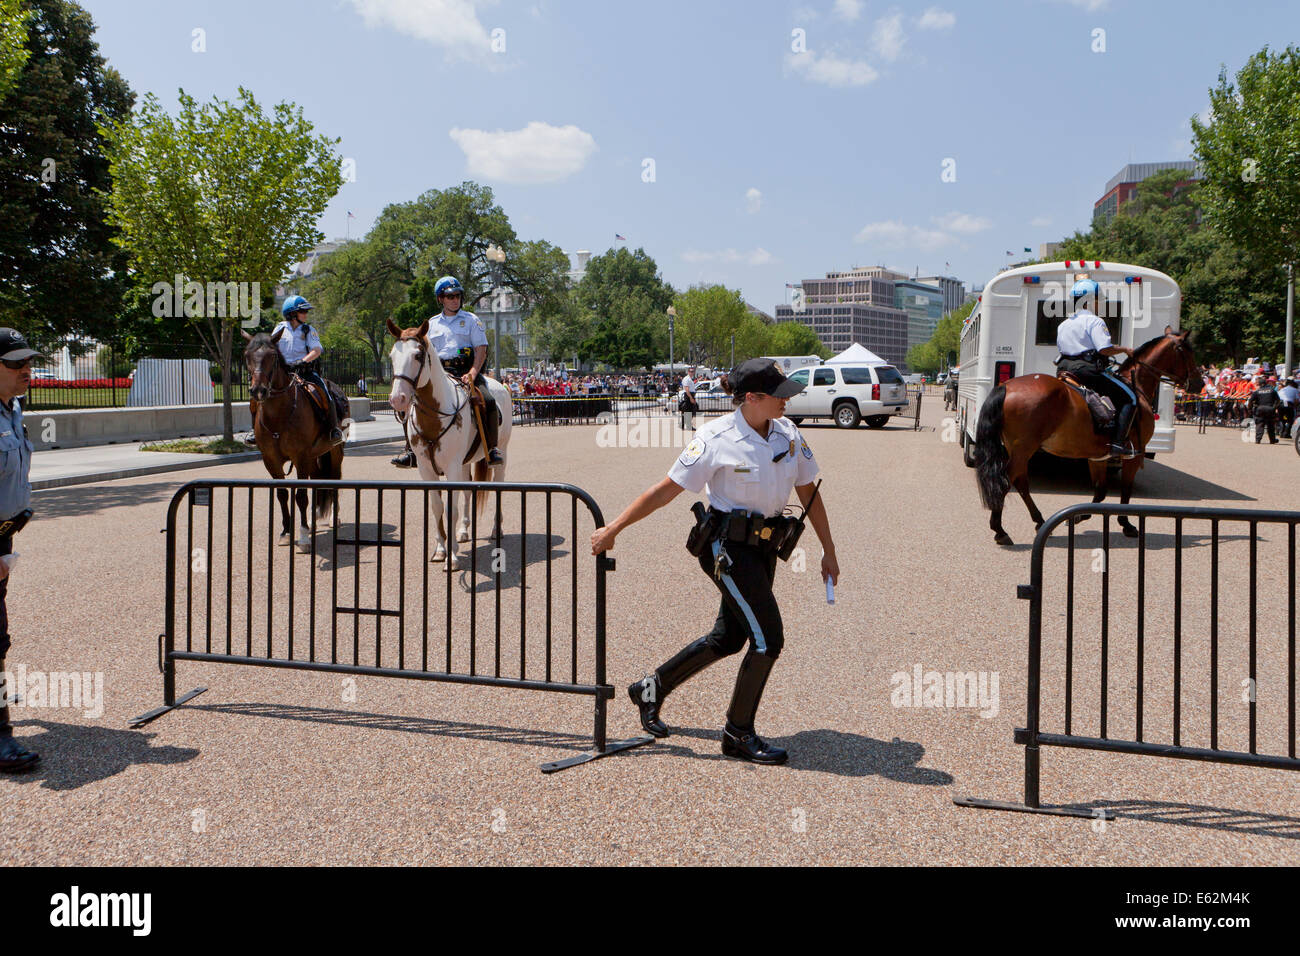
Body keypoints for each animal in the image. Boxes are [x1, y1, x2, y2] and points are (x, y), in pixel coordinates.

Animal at [243, 330, 345, 548]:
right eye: (247, 355)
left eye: (272, 356)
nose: (258, 390)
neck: (278, 416)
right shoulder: (271, 460)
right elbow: (282, 494)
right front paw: (286, 532)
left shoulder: (300, 457)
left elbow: (301, 495)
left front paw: (304, 535)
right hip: (314, 456)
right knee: (318, 479)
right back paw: (314, 519)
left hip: (335, 451)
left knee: (334, 479)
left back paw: (334, 517)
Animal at [384, 317, 512, 567]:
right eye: (392, 355)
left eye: (418, 355)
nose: (397, 399)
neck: (435, 416)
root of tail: (500, 384)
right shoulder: (426, 470)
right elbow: (437, 507)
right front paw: (441, 549)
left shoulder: (451, 467)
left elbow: (451, 507)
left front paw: (451, 556)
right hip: (464, 463)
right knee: (468, 491)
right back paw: (463, 531)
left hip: (501, 453)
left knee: (498, 485)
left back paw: (496, 529)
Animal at [972, 325, 1201, 546]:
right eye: (1188, 352)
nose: (1198, 383)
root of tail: (1006, 386)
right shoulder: (1134, 456)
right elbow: (1125, 490)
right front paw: (1126, 525)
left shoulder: (1097, 457)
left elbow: (1100, 491)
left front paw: (1078, 517)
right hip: (1024, 448)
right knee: (1006, 481)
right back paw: (1000, 530)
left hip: (1018, 449)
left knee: (1020, 482)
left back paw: (1039, 521)